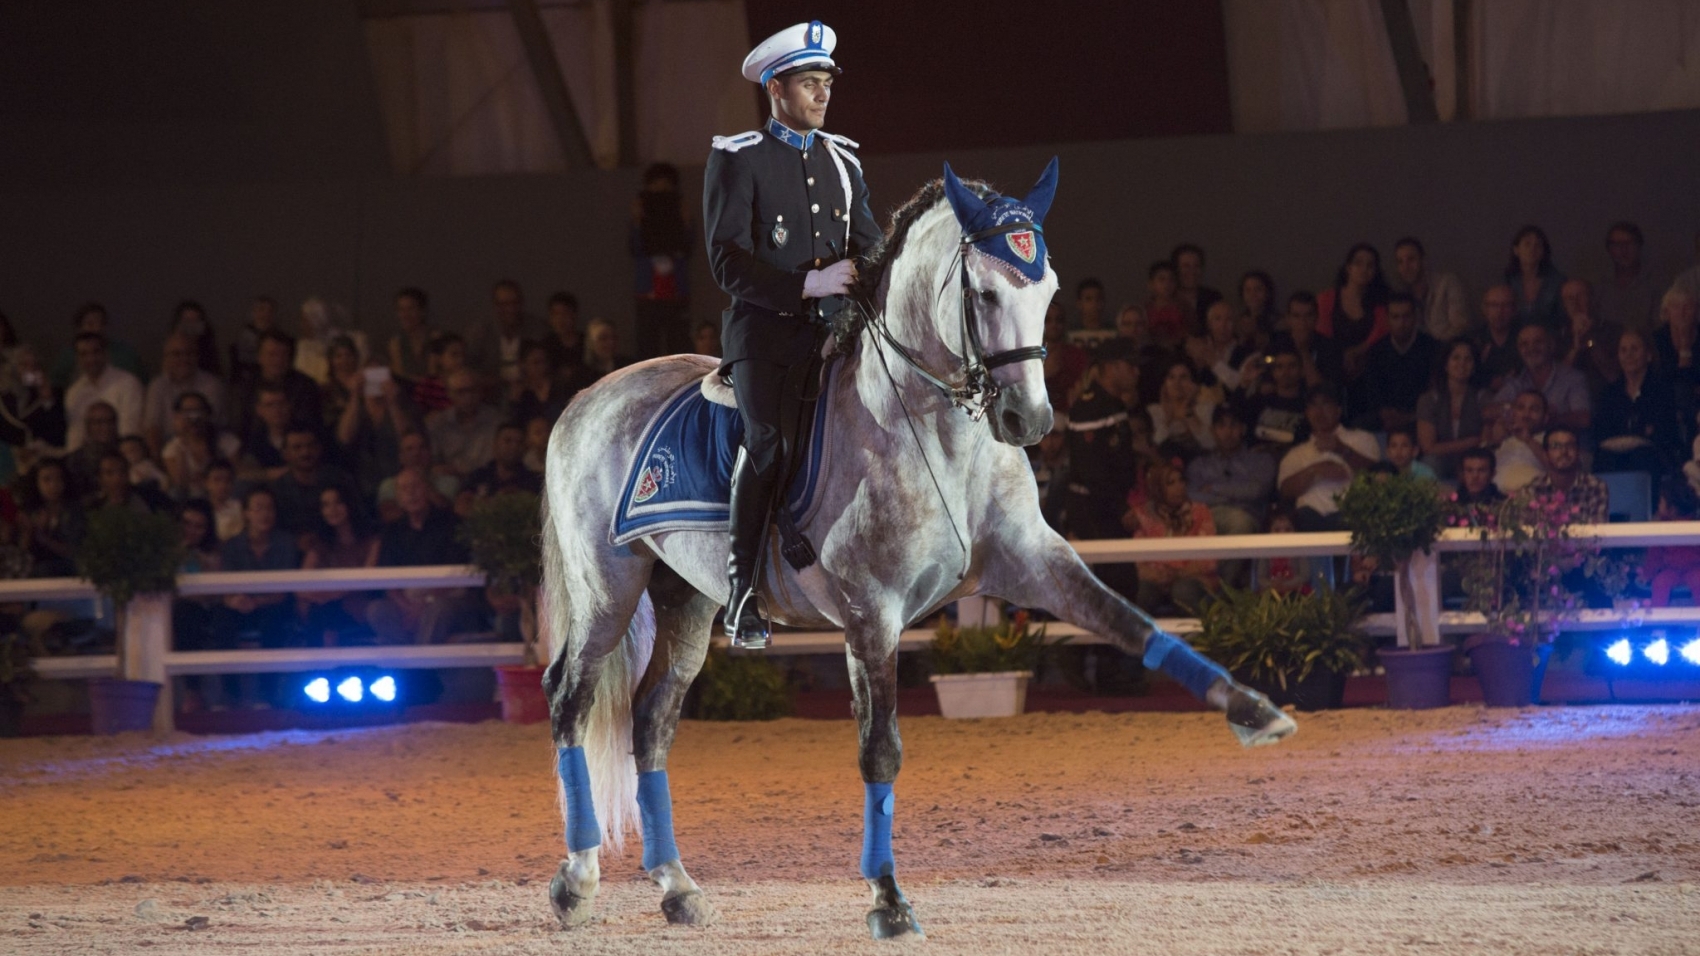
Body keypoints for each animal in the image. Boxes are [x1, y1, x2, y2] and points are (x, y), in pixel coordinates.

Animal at [537, 158, 1292, 938]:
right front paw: (889, 899)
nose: (1030, 419)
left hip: (685, 598)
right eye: (985, 293)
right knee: (570, 699)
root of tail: (587, 397)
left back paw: (678, 887)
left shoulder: (1033, 560)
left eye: (1050, 290)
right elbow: (881, 750)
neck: (932, 429)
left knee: (651, 721)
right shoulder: (872, 614)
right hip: (608, 589)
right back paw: (576, 882)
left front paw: (1252, 710)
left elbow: (1132, 624)